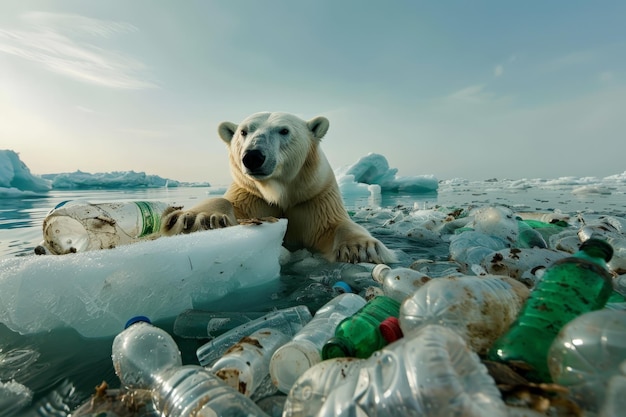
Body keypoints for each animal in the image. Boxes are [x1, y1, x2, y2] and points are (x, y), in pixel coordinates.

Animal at [161, 112, 394, 264]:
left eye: (284, 130)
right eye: (243, 131)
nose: (253, 156)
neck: (279, 192)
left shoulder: (314, 197)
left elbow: (331, 225)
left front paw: (361, 248)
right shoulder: (251, 195)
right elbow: (228, 204)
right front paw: (197, 219)